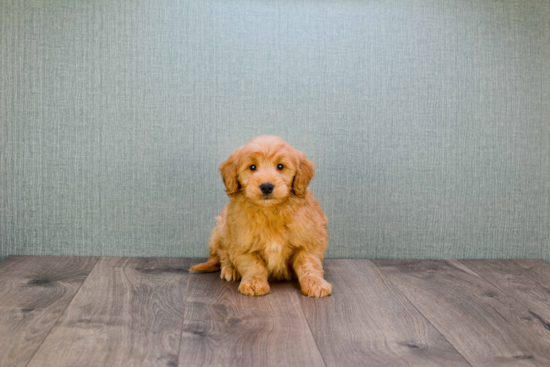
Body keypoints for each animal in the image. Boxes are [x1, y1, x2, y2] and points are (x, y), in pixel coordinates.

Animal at [191, 136, 332, 300]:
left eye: (280, 166)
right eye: (252, 167)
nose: (266, 186)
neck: (270, 212)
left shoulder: (309, 239)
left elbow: (309, 264)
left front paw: (315, 283)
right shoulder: (243, 243)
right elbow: (253, 265)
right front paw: (254, 283)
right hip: (221, 229)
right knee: (222, 254)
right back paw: (229, 270)